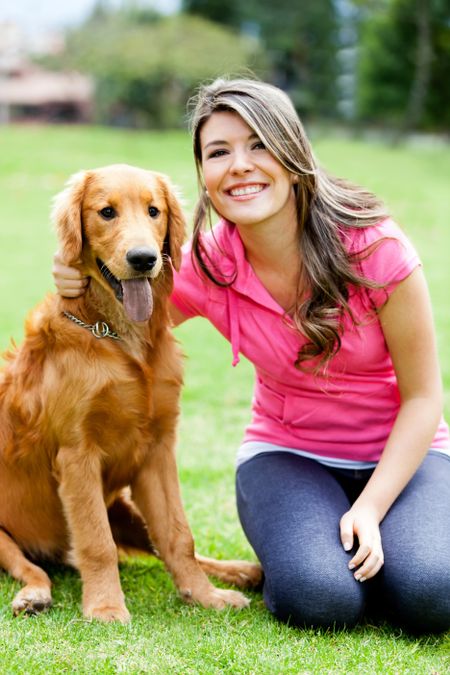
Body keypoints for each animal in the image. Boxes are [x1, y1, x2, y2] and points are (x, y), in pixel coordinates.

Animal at [0, 164, 262, 624]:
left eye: (154, 211)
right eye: (106, 212)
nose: (144, 259)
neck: (118, 337)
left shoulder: (157, 450)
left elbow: (179, 537)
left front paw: (204, 595)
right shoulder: (77, 455)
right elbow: (96, 543)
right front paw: (105, 606)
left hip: (124, 509)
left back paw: (240, 572)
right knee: (29, 567)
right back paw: (34, 595)